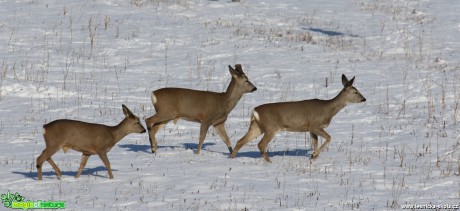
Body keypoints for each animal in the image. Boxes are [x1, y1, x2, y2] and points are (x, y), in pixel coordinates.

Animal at [230, 73, 366, 162]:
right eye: (355, 92)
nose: (364, 99)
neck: (328, 109)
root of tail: (255, 111)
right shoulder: (314, 125)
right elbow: (328, 137)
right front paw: (314, 155)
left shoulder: (310, 129)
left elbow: (315, 142)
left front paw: (313, 156)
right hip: (271, 127)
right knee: (261, 144)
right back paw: (269, 162)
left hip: (257, 127)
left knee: (240, 141)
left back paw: (231, 159)